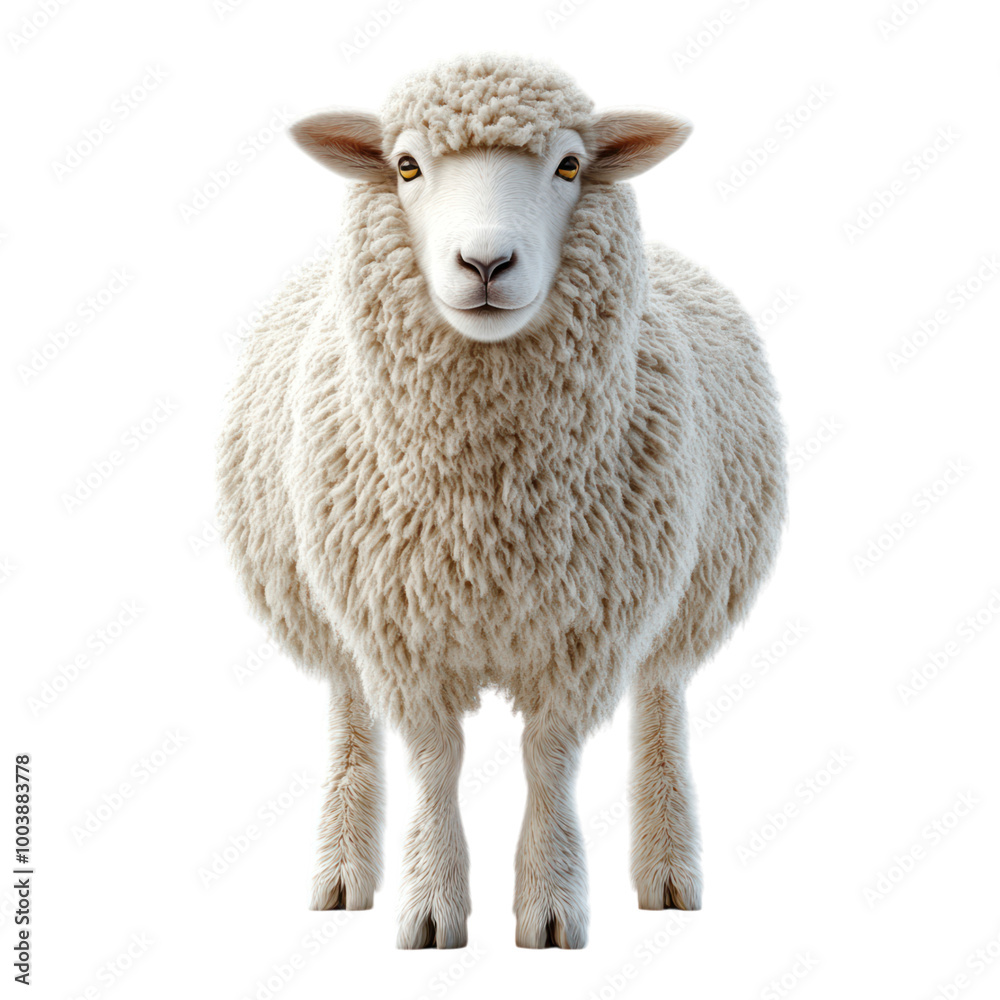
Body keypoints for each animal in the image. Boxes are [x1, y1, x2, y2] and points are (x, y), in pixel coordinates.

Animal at [217, 53, 787, 950]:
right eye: (406, 165)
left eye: (570, 166)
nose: (485, 264)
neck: (488, 501)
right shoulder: (400, 628)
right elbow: (434, 757)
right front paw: (429, 906)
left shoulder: (586, 628)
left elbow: (548, 755)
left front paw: (549, 907)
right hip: (328, 602)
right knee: (350, 717)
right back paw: (343, 879)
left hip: (684, 597)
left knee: (661, 705)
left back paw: (666, 877)